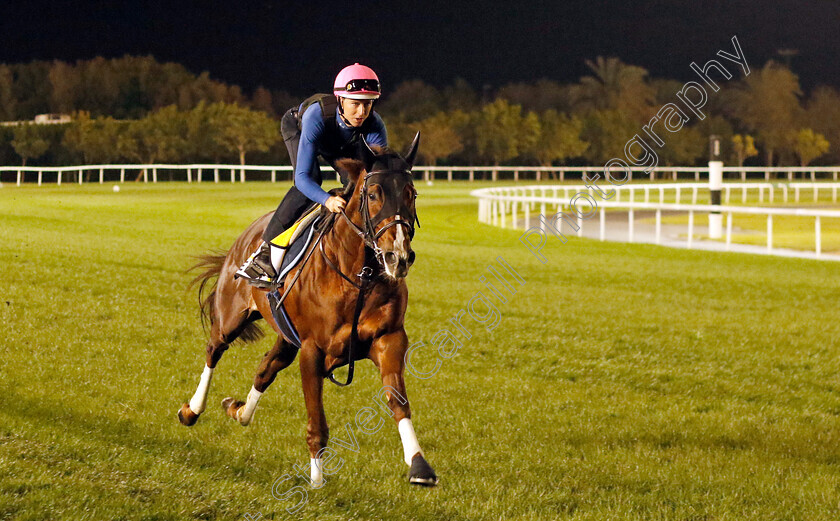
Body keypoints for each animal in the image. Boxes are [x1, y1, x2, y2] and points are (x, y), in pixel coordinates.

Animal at [177, 135, 440, 488]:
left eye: (411, 194)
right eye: (373, 194)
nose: (397, 257)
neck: (357, 277)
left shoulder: (388, 338)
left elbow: (398, 401)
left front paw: (419, 466)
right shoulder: (313, 349)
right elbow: (317, 419)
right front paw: (316, 481)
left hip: (286, 337)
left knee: (266, 368)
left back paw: (239, 410)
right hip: (231, 316)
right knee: (214, 349)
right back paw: (192, 410)